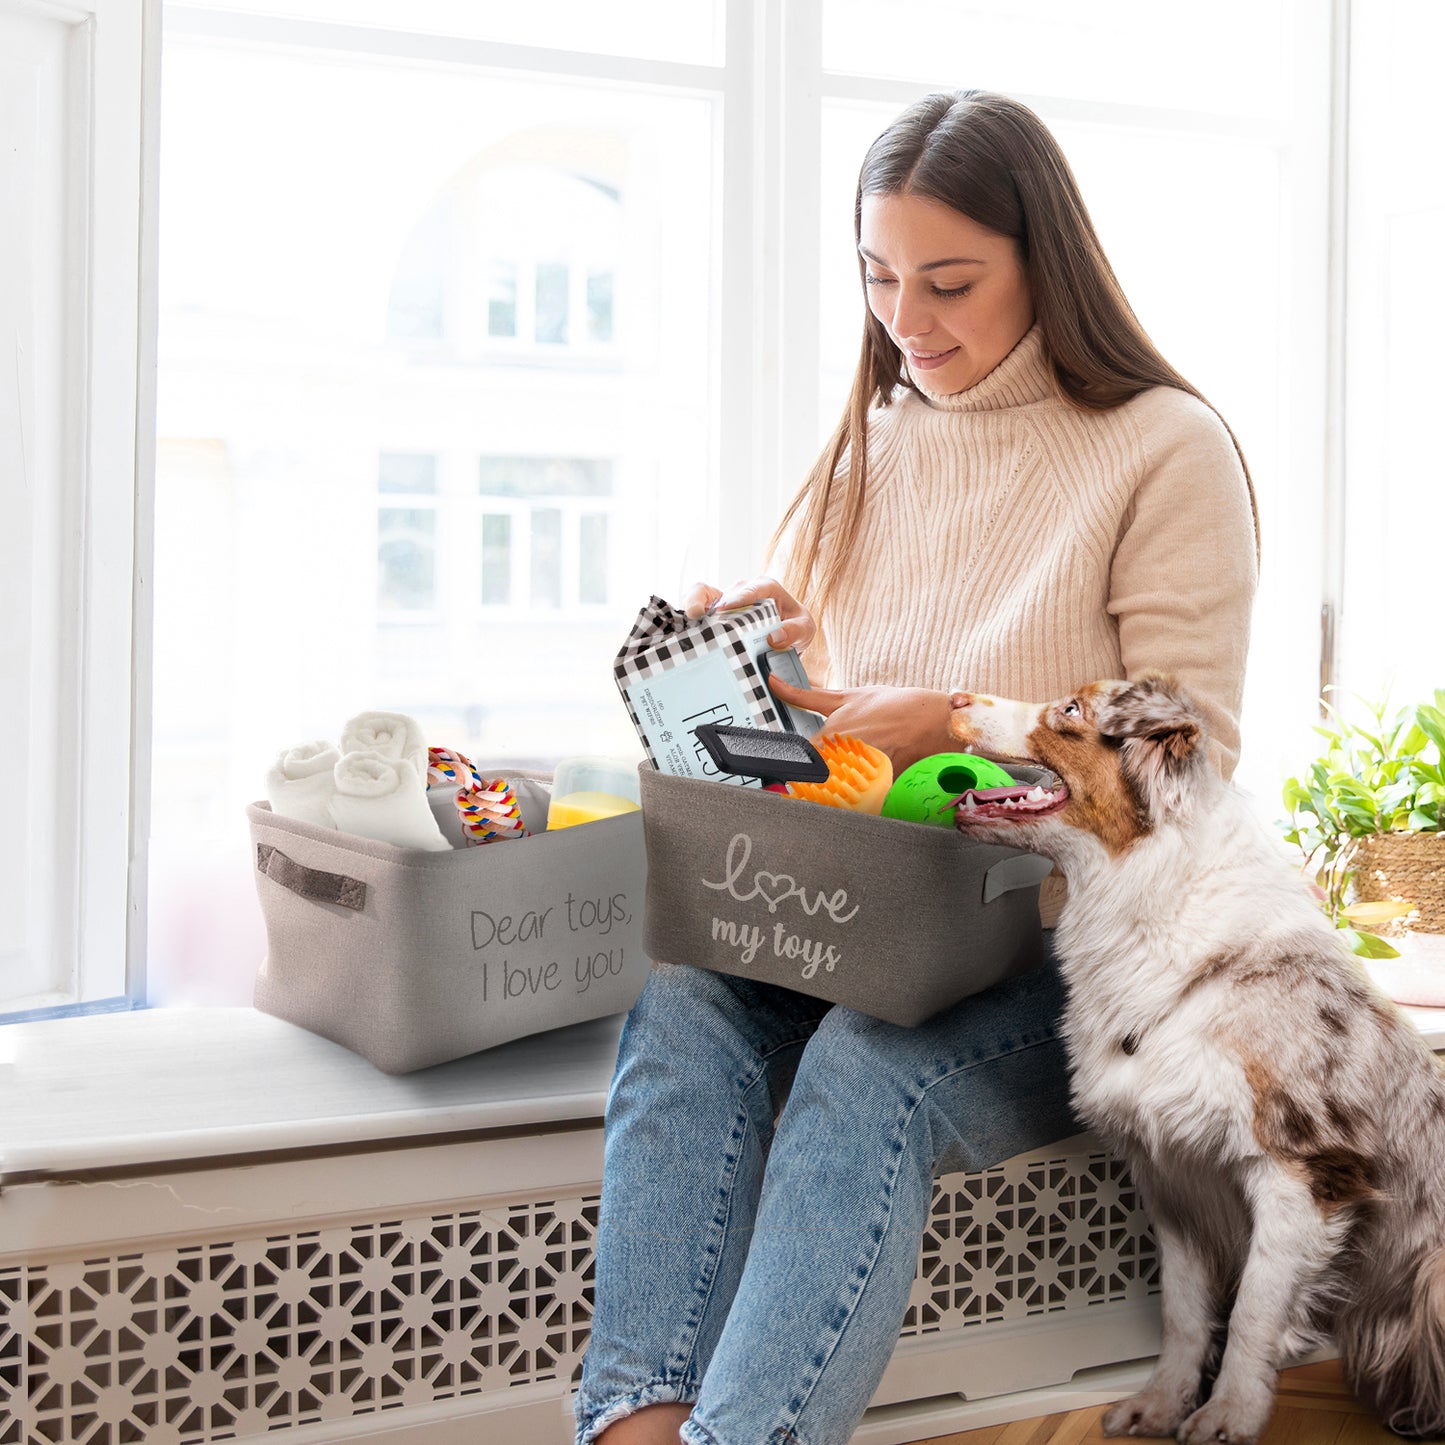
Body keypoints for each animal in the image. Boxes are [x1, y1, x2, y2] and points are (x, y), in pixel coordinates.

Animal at [947, 676, 1445, 1445]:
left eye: (1071, 709)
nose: (951, 697)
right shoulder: (1170, 1173)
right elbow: (1183, 1313)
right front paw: (1161, 1403)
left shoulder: (1300, 1171)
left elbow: (1252, 1313)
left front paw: (1229, 1414)